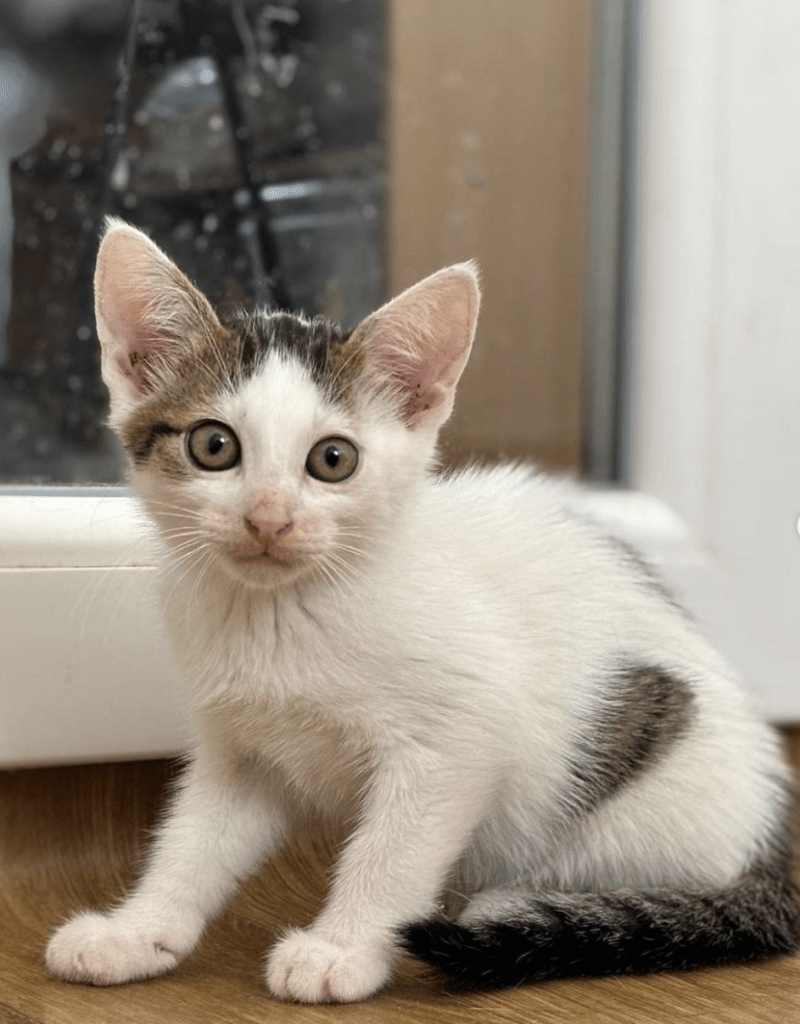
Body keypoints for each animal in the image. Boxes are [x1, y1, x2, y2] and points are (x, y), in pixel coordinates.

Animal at [45, 218, 798, 999]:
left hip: (633, 803)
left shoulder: (459, 738)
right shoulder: (242, 751)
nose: (268, 519)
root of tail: (772, 840)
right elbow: (192, 843)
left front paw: (341, 950)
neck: (285, 613)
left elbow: (393, 852)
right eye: (214, 445)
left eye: (333, 460)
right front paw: (136, 932)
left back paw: (513, 908)